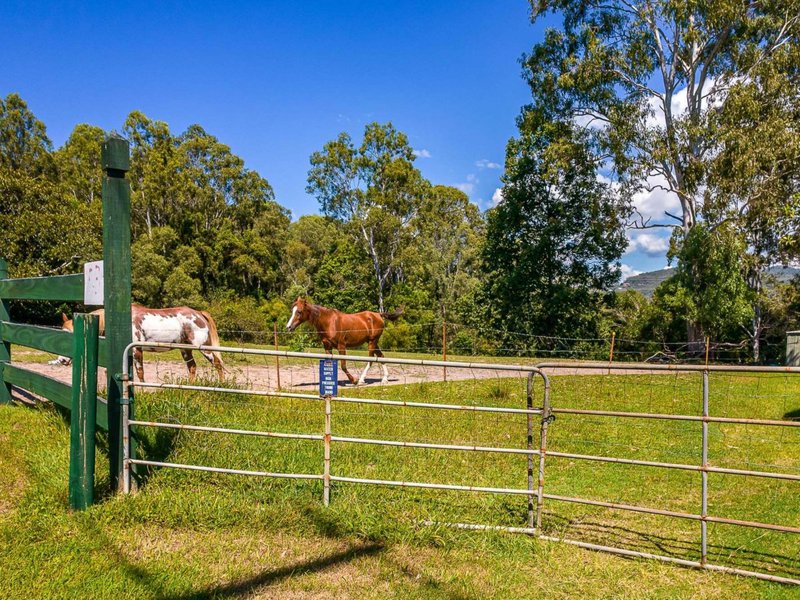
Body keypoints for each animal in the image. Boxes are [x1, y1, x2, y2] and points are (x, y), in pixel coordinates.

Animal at [61, 304, 225, 384]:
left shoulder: (136, 350)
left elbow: (140, 372)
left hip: (204, 348)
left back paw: (221, 384)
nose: (62, 360)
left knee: (217, 364)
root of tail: (199, 313)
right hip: (185, 350)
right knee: (192, 367)